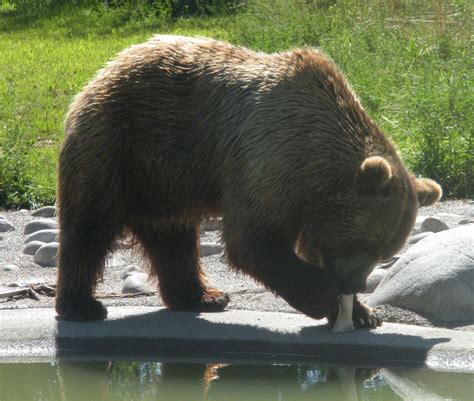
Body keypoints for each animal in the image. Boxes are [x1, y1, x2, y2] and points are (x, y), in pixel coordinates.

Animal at [54, 33, 440, 322]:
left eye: (386, 252)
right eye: (366, 243)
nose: (354, 284)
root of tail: (109, 66)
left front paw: (364, 314)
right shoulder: (268, 157)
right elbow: (253, 239)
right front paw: (324, 296)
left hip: (166, 178)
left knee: (172, 237)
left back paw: (202, 296)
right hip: (120, 144)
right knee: (89, 225)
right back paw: (82, 305)